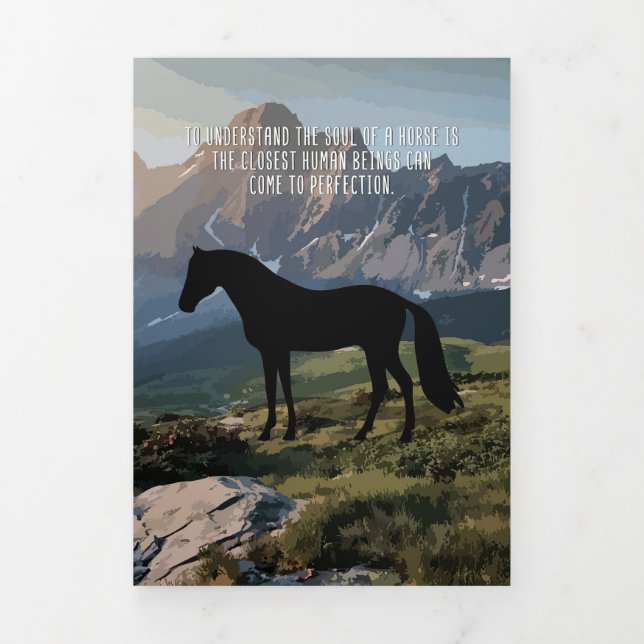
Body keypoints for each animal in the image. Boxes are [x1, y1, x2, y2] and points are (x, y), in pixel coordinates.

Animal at [178, 248, 463, 442]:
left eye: (198, 271)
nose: (183, 305)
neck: (264, 299)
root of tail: (399, 300)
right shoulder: (277, 352)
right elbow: (280, 388)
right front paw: (281, 431)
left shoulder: (273, 351)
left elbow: (277, 389)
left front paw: (277, 432)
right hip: (375, 351)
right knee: (383, 386)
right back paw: (365, 433)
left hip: (381, 349)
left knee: (401, 383)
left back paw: (401, 434)